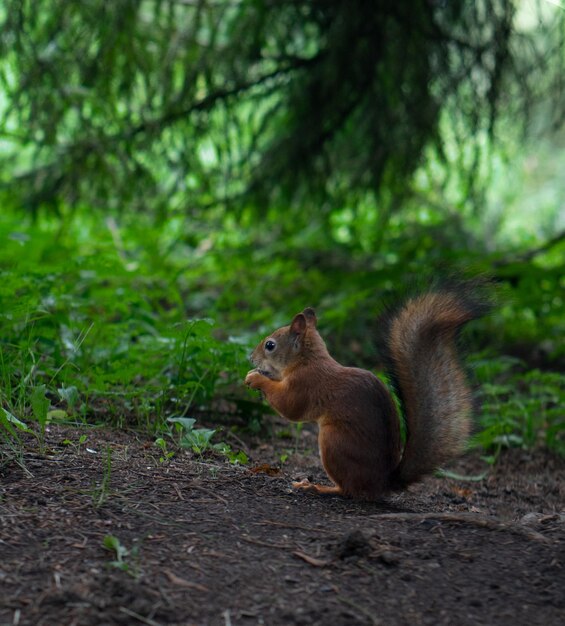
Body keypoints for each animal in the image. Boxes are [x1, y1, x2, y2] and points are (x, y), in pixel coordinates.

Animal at [243, 286, 490, 500]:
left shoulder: (305, 384)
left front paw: (255, 377)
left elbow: (289, 406)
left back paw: (317, 487)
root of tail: (383, 483)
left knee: (348, 489)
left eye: (270, 345)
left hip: (334, 442)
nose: (251, 358)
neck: (307, 360)